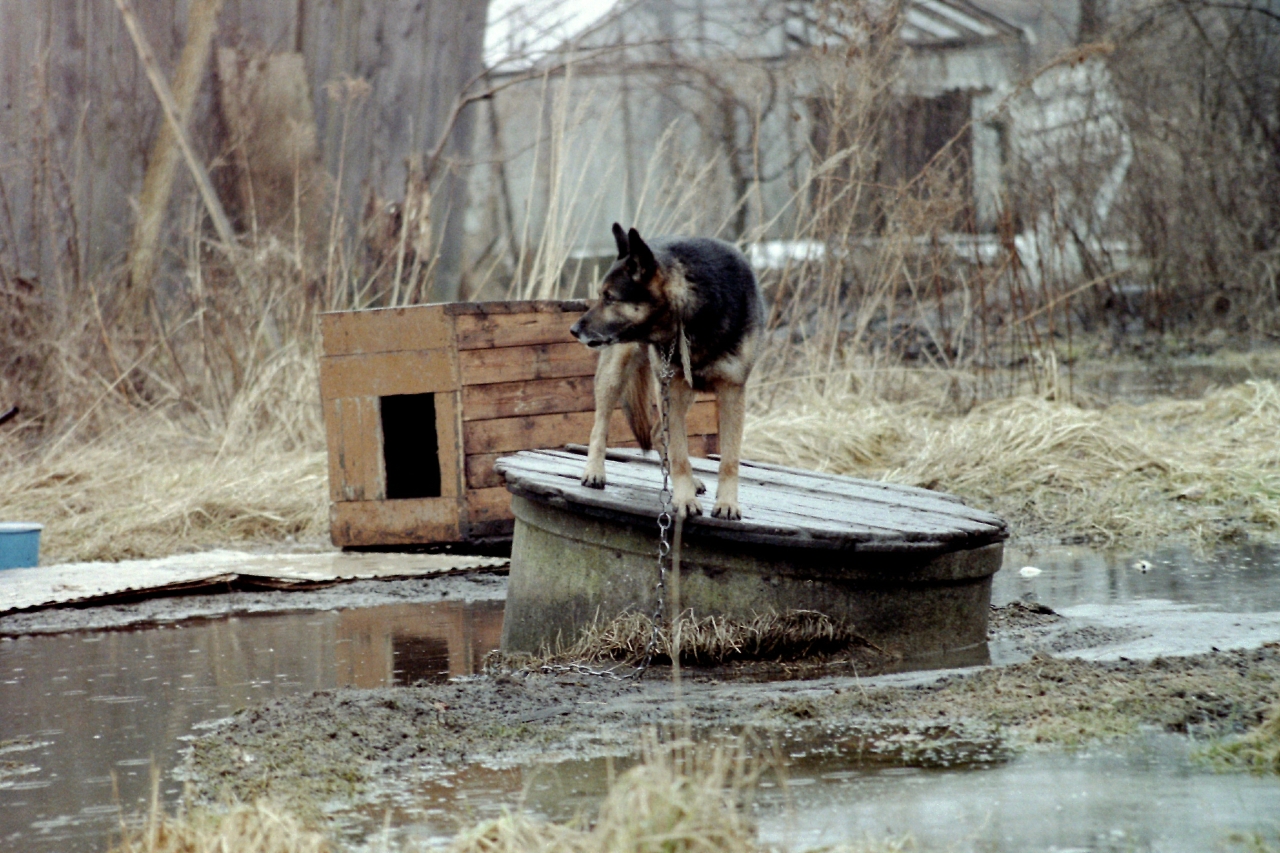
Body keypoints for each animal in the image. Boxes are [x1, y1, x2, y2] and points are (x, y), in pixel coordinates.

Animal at [568, 222, 757, 517]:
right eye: (600, 296)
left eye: (610, 298)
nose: (574, 330)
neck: (693, 309)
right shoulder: (674, 388)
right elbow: (679, 454)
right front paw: (684, 499)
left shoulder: (732, 390)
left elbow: (729, 459)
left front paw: (727, 503)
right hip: (617, 374)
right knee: (601, 425)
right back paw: (594, 471)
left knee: (657, 432)